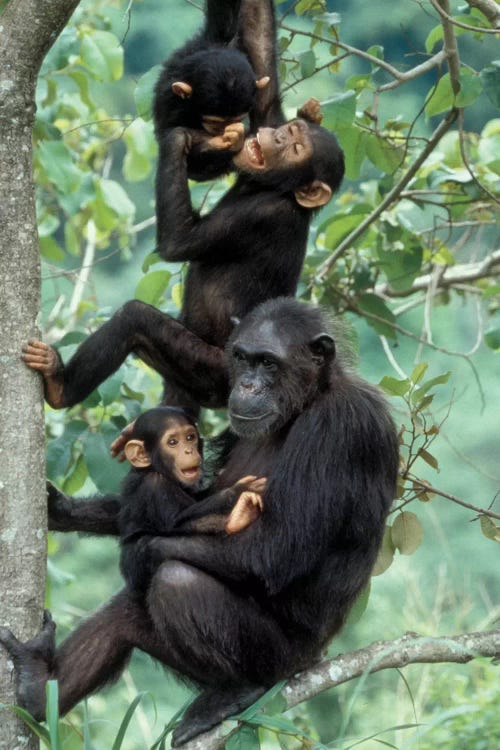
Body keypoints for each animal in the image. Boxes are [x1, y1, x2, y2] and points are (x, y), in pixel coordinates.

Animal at [1, 300, 398, 748]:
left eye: (268, 363)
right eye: (242, 359)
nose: (247, 386)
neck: (306, 402)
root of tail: (318, 658)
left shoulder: (339, 430)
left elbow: (278, 548)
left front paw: (138, 552)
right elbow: (183, 501)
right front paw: (60, 509)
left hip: (286, 659)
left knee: (176, 579)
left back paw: (237, 690)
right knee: (124, 615)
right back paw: (36, 684)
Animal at [153, 0, 270, 182]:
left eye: (236, 119)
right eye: (215, 123)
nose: (223, 133)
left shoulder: (226, 36)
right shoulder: (172, 105)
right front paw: (229, 142)